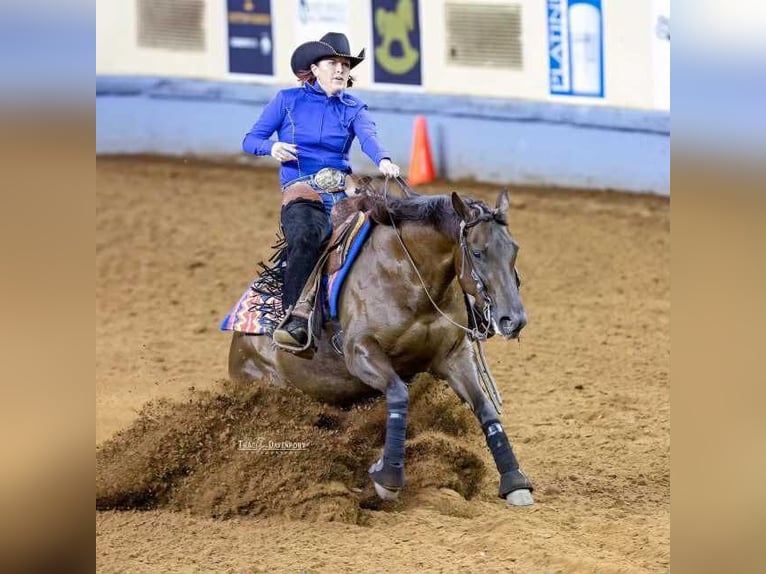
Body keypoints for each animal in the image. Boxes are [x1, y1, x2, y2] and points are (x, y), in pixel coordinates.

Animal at [228, 185, 534, 506]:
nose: (513, 320)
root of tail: (238, 340)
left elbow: (484, 407)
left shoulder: (454, 355)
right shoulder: (360, 352)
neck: (408, 276)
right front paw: (388, 477)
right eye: (477, 252)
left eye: (514, 249)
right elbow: (398, 393)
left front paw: (515, 481)